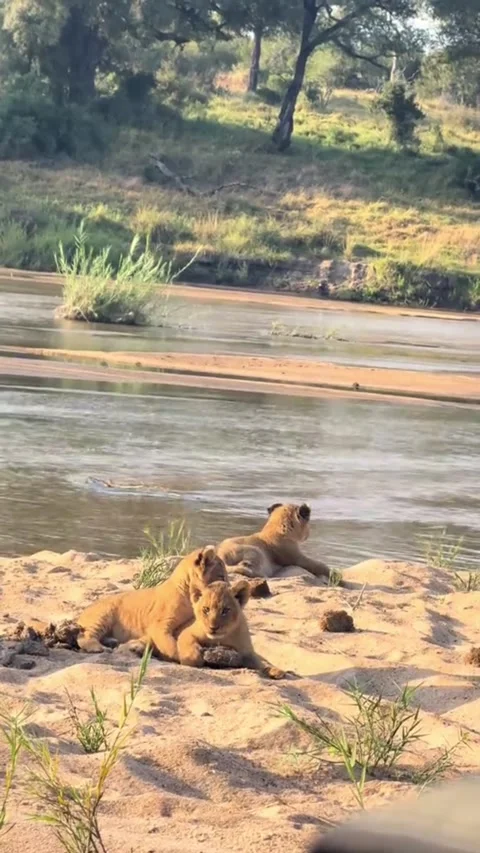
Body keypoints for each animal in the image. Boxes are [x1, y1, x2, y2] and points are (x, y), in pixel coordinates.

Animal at [76, 545, 227, 658]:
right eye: (221, 576)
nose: (228, 588)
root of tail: (82, 614)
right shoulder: (160, 626)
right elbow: (171, 646)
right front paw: (183, 657)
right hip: (102, 616)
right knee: (84, 635)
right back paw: (99, 648)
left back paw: (113, 641)